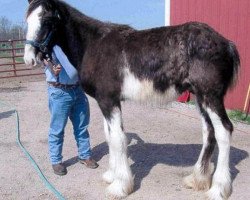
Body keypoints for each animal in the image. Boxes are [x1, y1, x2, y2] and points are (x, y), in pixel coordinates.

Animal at [23, 0, 240, 198]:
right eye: (28, 20)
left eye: (47, 20)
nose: (29, 59)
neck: (93, 44)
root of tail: (226, 44)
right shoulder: (105, 102)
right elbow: (110, 136)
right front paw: (111, 176)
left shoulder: (109, 101)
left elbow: (118, 139)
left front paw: (120, 186)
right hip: (201, 98)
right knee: (209, 131)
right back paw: (197, 179)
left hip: (211, 96)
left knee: (223, 131)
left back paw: (218, 189)